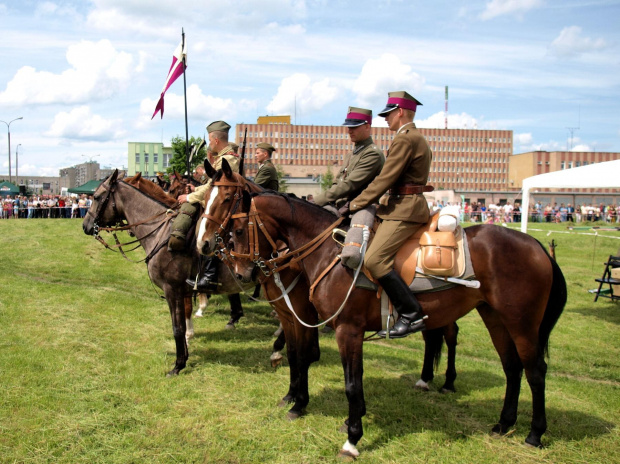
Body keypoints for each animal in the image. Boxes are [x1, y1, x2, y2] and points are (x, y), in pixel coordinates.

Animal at [82, 170, 254, 376]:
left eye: (97, 197)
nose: (86, 225)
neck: (161, 232)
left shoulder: (172, 289)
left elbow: (177, 326)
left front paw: (179, 363)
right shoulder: (184, 289)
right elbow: (185, 315)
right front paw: (188, 342)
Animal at [199, 166, 568, 456]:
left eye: (235, 224)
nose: (242, 272)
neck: (326, 251)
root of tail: (535, 245)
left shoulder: (344, 329)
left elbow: (345, 380)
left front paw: (350, 437)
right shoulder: (296, 316)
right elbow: (298, 357)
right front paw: (302, 403)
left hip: (522, 323)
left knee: (535, 370)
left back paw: (534, 433)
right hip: (495, 318)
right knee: (510, 367)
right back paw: (503, 423)